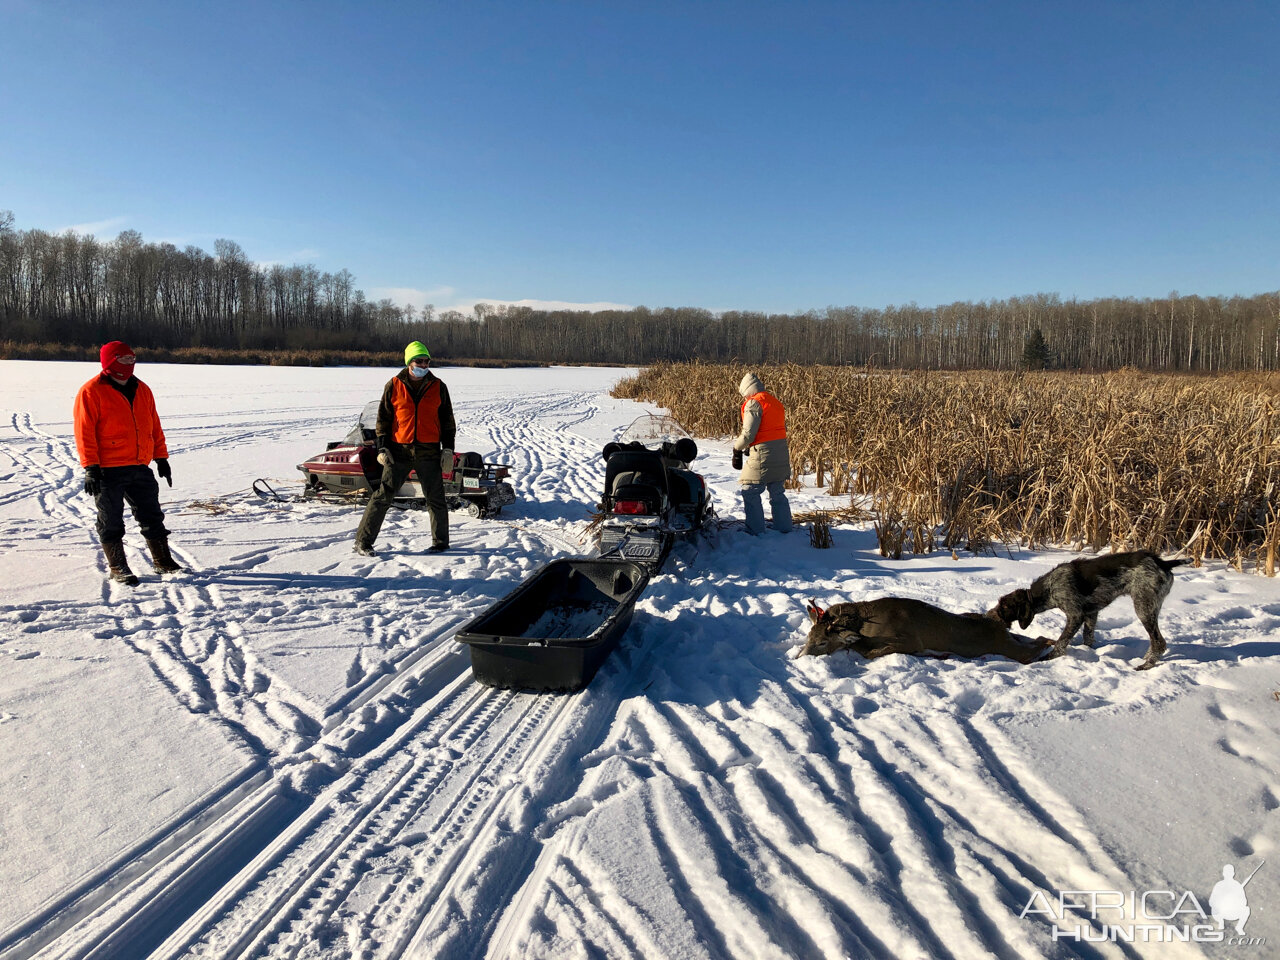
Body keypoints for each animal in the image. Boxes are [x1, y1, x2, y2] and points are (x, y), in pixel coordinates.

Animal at [988, 552, 1187, 670]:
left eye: (1004, 607)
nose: (990, 614)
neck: (1049, 589)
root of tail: (1164, 563)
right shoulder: (1091, 613)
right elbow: (1088, 637)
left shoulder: (1075, 615)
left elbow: (1061, 642)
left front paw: (1049, 657)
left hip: (1143, 606)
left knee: (1159, 642)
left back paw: (1146, 665)